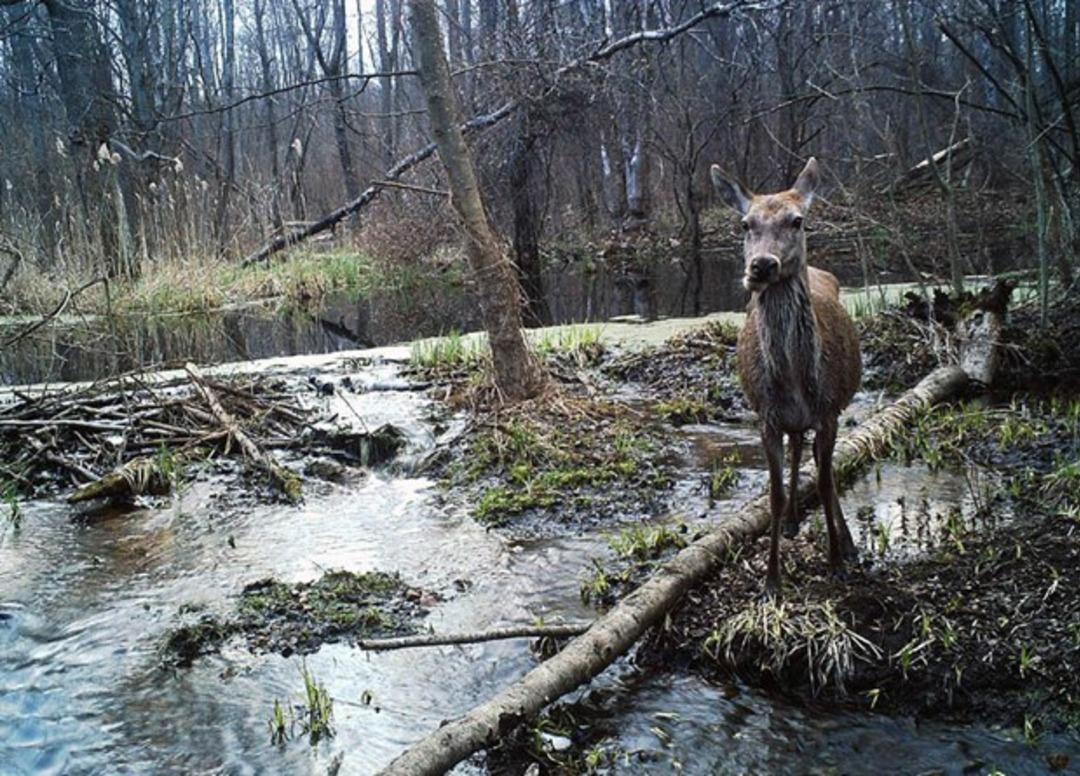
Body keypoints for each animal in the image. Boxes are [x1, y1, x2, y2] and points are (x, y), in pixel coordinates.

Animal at [708, 156, 859, 595]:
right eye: (745, 224)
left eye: (797, 220)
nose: (761, 265)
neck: (795, 381)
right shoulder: (767, 418)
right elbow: (772, 494)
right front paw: (772, 579)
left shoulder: (828, 411)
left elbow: (825, 483)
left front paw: (836, 562)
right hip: (791, 422)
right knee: (797, 451)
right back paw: (792, 522)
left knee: (821, 465)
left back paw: (848, 543)